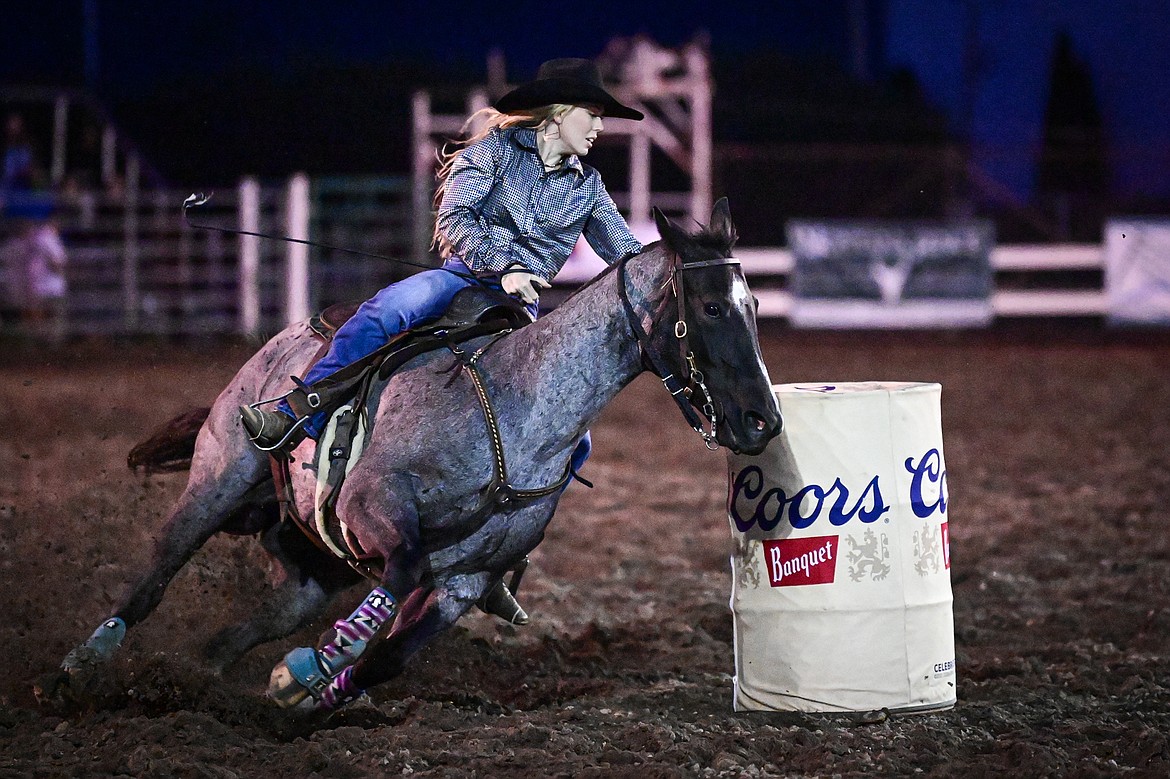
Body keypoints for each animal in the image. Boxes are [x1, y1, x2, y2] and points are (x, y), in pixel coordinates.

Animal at [41, 198, 781, 711]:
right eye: (712, 307)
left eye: (753, 306)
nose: (763, 420)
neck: (514, 407)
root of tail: (276, 349)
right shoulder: (374, 506)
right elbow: (398, 572)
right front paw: (312, 668)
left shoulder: (462, 584)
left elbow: (388, 658)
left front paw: (302, 689)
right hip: (217, 479)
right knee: (157, 570)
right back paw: (80, 664)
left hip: (312, 565)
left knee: (248, 625)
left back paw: (201, 671)